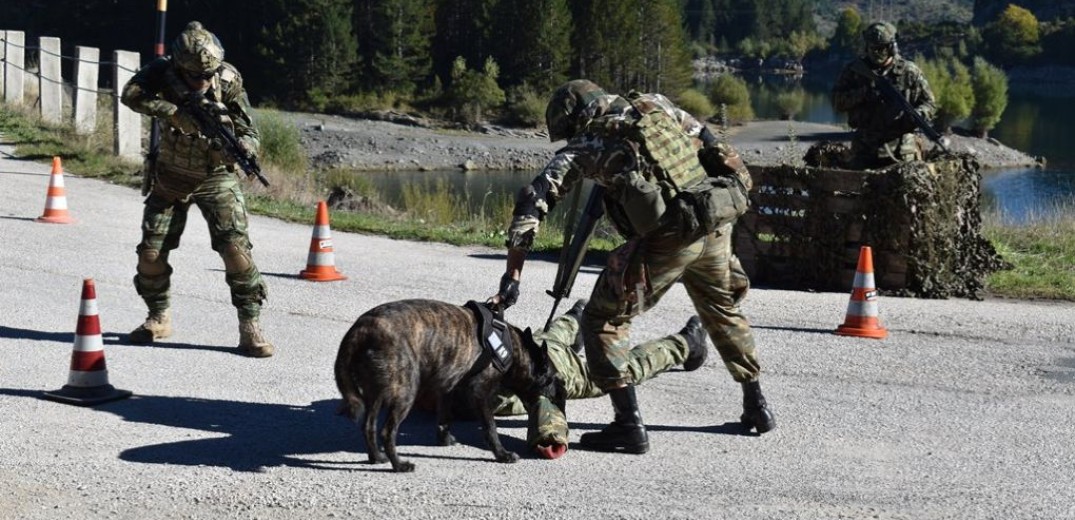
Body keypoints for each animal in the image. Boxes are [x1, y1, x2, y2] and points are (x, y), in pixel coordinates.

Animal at [333, 296, 567, 470]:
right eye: (552, 378)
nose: (562, 392)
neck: (516, 349)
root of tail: (361, 329)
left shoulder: (447, 389)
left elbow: (445, 418)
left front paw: (444, 439)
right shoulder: (479, 393)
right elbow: (490, 427)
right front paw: (502, 454)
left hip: (376, 394)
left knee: (368, 426)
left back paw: (376, 456)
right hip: (405, 393)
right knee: (386, 432)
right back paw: (399, 465)